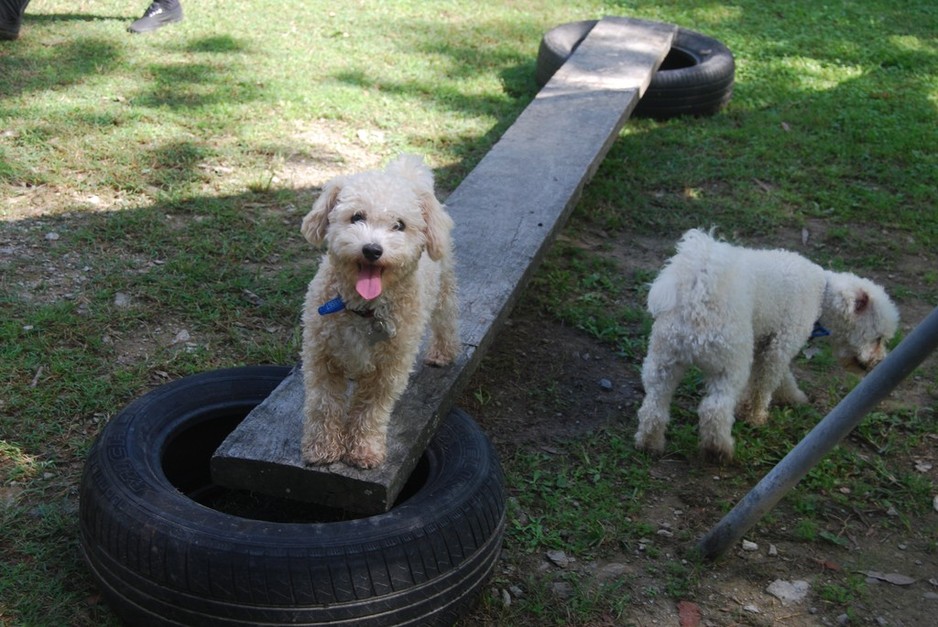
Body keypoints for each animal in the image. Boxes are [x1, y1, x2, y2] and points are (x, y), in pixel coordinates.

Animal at [300, 156, 458, 472]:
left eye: (399, 225)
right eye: (356, 217)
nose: (372, 249)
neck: (365, 309)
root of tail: (407, 174)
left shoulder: (389, 369)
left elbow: (371, 411)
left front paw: (364, 450)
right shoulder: (320, 357)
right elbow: (324, 405)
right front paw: (322, 448)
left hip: (444, 286)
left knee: (447, 318)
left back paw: (442, 353)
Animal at [632, 228, 896, 464]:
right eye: (878, 338)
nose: (879, 362)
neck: (823, 292)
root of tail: (699, 295)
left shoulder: (766, 343)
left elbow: (781, 378)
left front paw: (791, 397)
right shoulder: (780, 346)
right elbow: (764, 384)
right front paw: (755, 415)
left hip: (663, 359)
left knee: (654, 405)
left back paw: (649, 443)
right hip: (730, 364)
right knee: (714, 410)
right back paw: (719, 450)